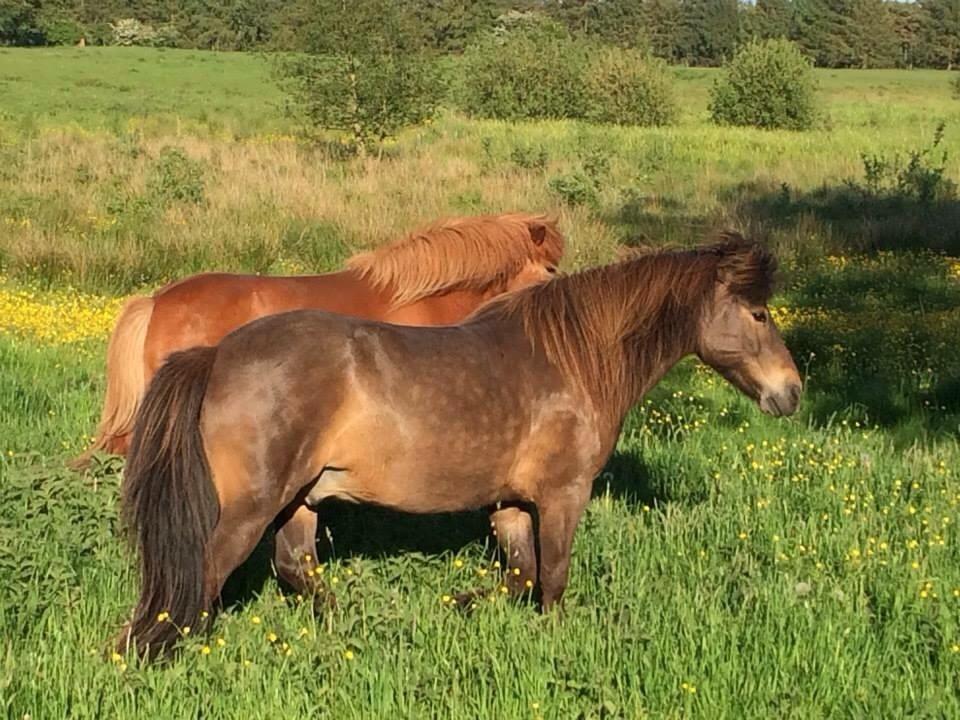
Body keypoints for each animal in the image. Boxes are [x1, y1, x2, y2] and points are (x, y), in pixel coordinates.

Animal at [116, 236, 800, 660]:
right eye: (759, 314)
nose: (791, 391)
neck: (570, 359)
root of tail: (217, 354)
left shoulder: (509, 503)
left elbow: (519, 576)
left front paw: (460, 606)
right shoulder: (562, 495)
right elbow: (552, 578)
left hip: (300, 499)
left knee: (294, 569)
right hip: (254, 505)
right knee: (200, 578)